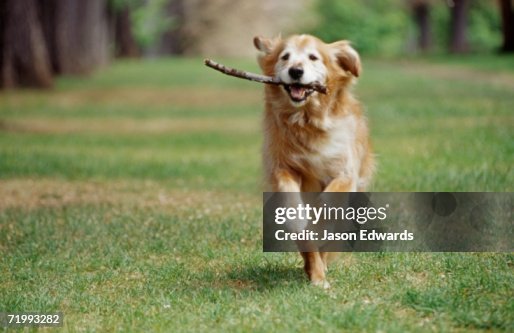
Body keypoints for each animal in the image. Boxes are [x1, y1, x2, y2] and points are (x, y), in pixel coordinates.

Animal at [254, 34, 374, 288]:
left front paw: (319, 223)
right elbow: (290, 199)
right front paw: (300, 220)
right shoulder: (282, 167)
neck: (307, 120)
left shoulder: (345, 172)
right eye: (285, 56)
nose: (296, 71)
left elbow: (328, 201)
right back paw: (315, 273)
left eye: (313, 57)